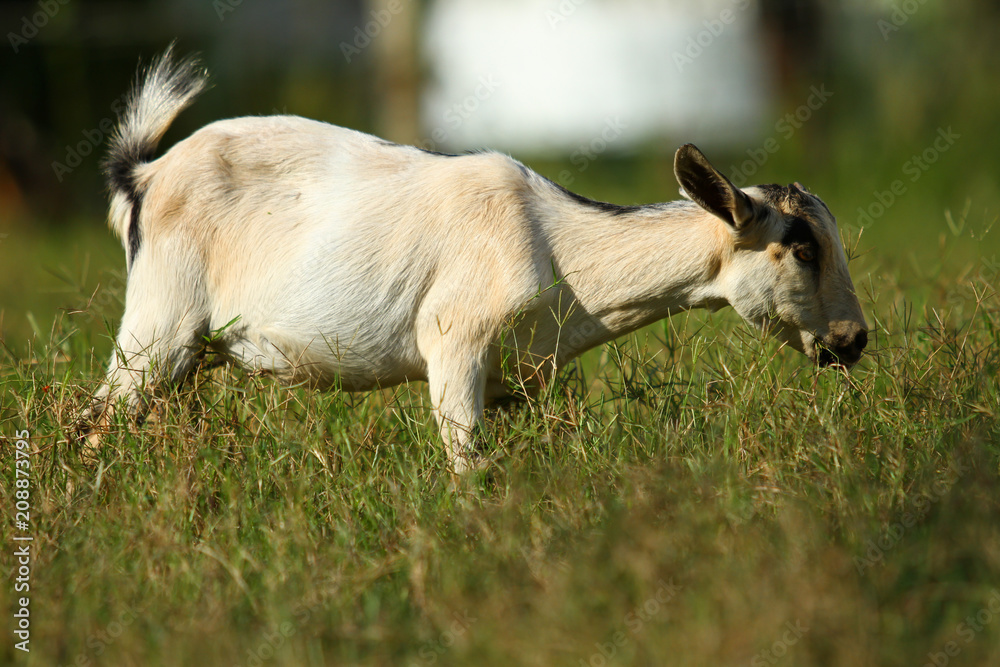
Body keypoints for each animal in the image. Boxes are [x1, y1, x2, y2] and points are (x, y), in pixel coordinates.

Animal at [81, 48, 868, 472]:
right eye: (802, 245)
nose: (854, 339)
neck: (560, 248)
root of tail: (144, 177)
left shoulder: (519, 379)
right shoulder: (454, 345)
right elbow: (471, 469)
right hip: (158, 327)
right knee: (94, 425)